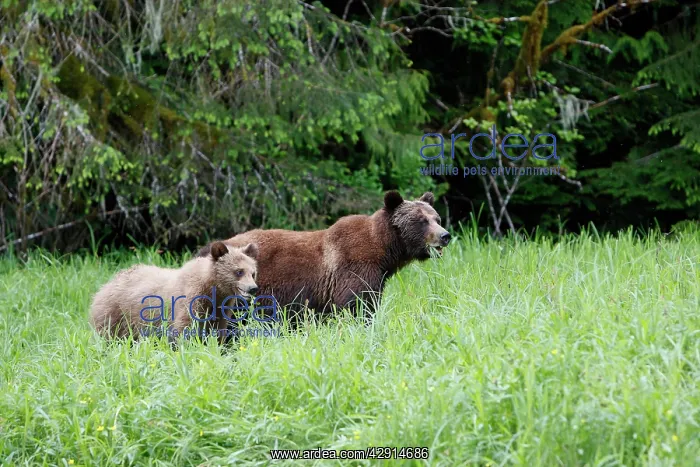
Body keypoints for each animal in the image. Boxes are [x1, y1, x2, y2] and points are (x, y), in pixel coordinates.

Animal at [89, 242, 259, 341]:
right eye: (239, 271)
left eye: (253, 273)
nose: (253, 288)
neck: (213, 288)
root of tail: (106, 285)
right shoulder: (190, 300)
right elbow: (183, 328)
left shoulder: (220, 308)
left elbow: (217, 331)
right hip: (115, 314)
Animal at [197, 191, 450, 319]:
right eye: (421, 220)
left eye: (436, 217)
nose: (445, 235)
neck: (383, 251)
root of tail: (206, 249)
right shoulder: (354, 270)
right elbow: (356, 305)